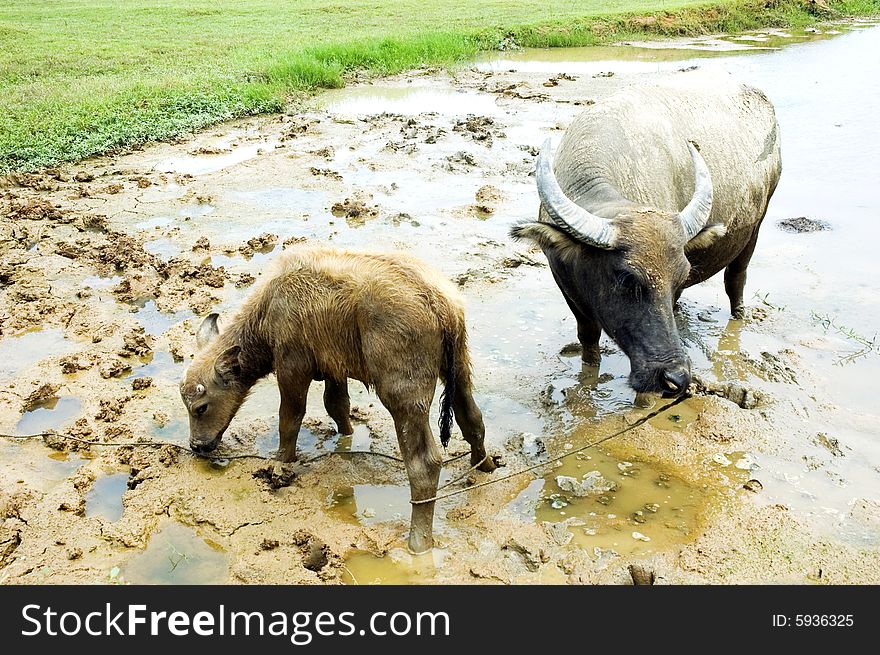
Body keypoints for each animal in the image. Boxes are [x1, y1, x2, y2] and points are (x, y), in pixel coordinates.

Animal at [512, 74, 780, 398]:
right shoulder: (568, 288)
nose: (677, 377)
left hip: (756, 227)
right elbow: (588, 338)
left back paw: (738, 316)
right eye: (627, 278)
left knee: (736, 279)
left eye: (681, 276)